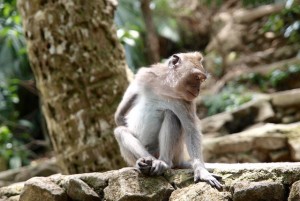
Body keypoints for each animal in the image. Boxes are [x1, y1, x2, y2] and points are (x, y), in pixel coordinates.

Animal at [113, 51, 221, 188]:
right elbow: (119, 115)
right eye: (196, 77)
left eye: (201, 79)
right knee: (120, 131)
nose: (198, 89)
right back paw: (145, 161)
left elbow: (191, 130)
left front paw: (202, 171)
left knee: (171, 115)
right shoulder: (144, 76)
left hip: (174, 154)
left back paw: (163, 163)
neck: (166, 87)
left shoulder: (186, 102)